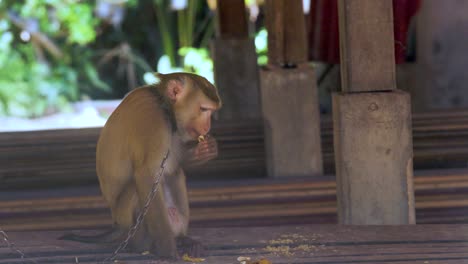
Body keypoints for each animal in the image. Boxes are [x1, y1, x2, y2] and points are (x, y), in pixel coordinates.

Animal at [60, 71, 221, 258]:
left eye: (211, 111)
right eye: (203, 109)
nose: (207, 127)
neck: (164, 105)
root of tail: (117, 225)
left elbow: (174, 162)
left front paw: (206, 150)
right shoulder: (153, 120)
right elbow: (147, 174)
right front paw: (169, 251)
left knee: (175, 173)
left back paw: (182, 238)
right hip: (126, 219)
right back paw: (144, 245)